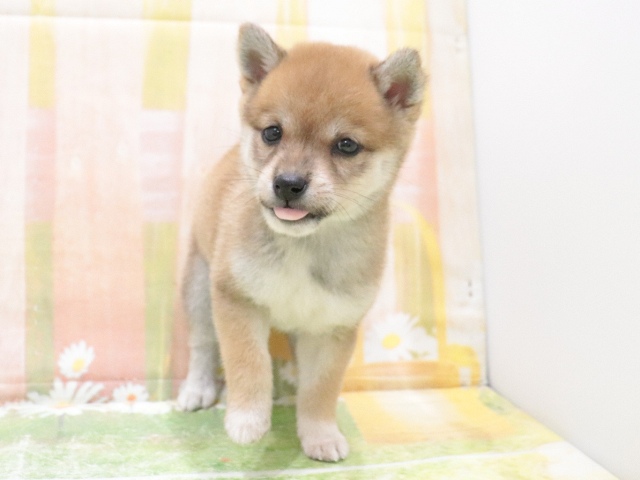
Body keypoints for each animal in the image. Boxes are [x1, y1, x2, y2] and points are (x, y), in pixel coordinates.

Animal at [177, 23, 425, 462]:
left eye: (346, 145)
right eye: (273, 133)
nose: (288, 183)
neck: (304, 248)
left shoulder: (332, 329)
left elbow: (320, 390)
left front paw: (319, 434)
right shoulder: (237, 300)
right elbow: (248, 363)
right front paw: (247, 419)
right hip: (200, 288)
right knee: (203, 345)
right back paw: (198, 388)